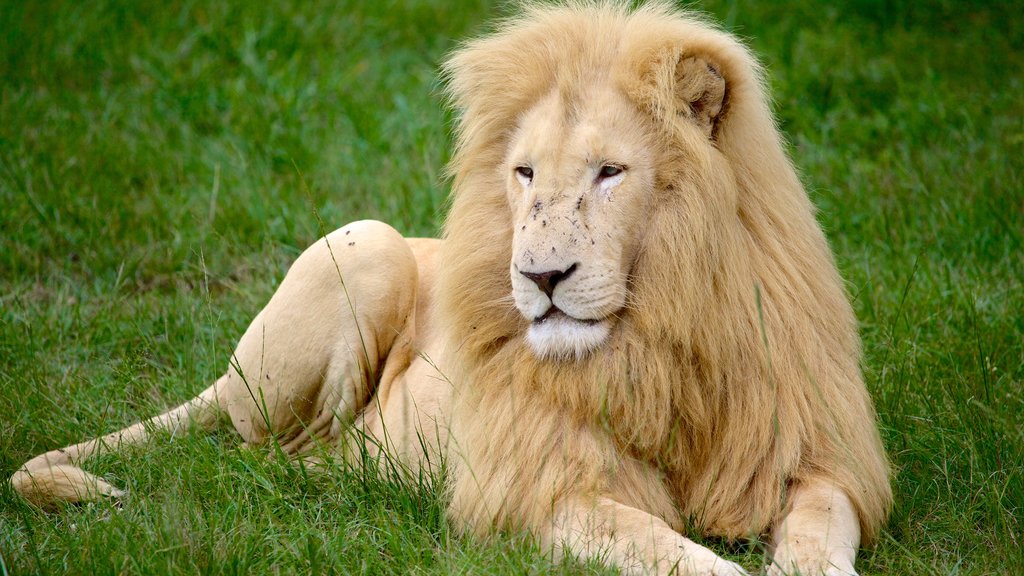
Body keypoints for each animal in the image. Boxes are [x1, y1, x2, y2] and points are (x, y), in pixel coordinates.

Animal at [8, 2, 888, 569]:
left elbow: (819, 528)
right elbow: (690, 559)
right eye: (524, 173)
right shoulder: (537, 489)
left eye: (610, 173)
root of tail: (224, 380)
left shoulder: (811, 448)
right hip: (366, 249)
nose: (541, 276)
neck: (658, 337)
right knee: (273, 454)